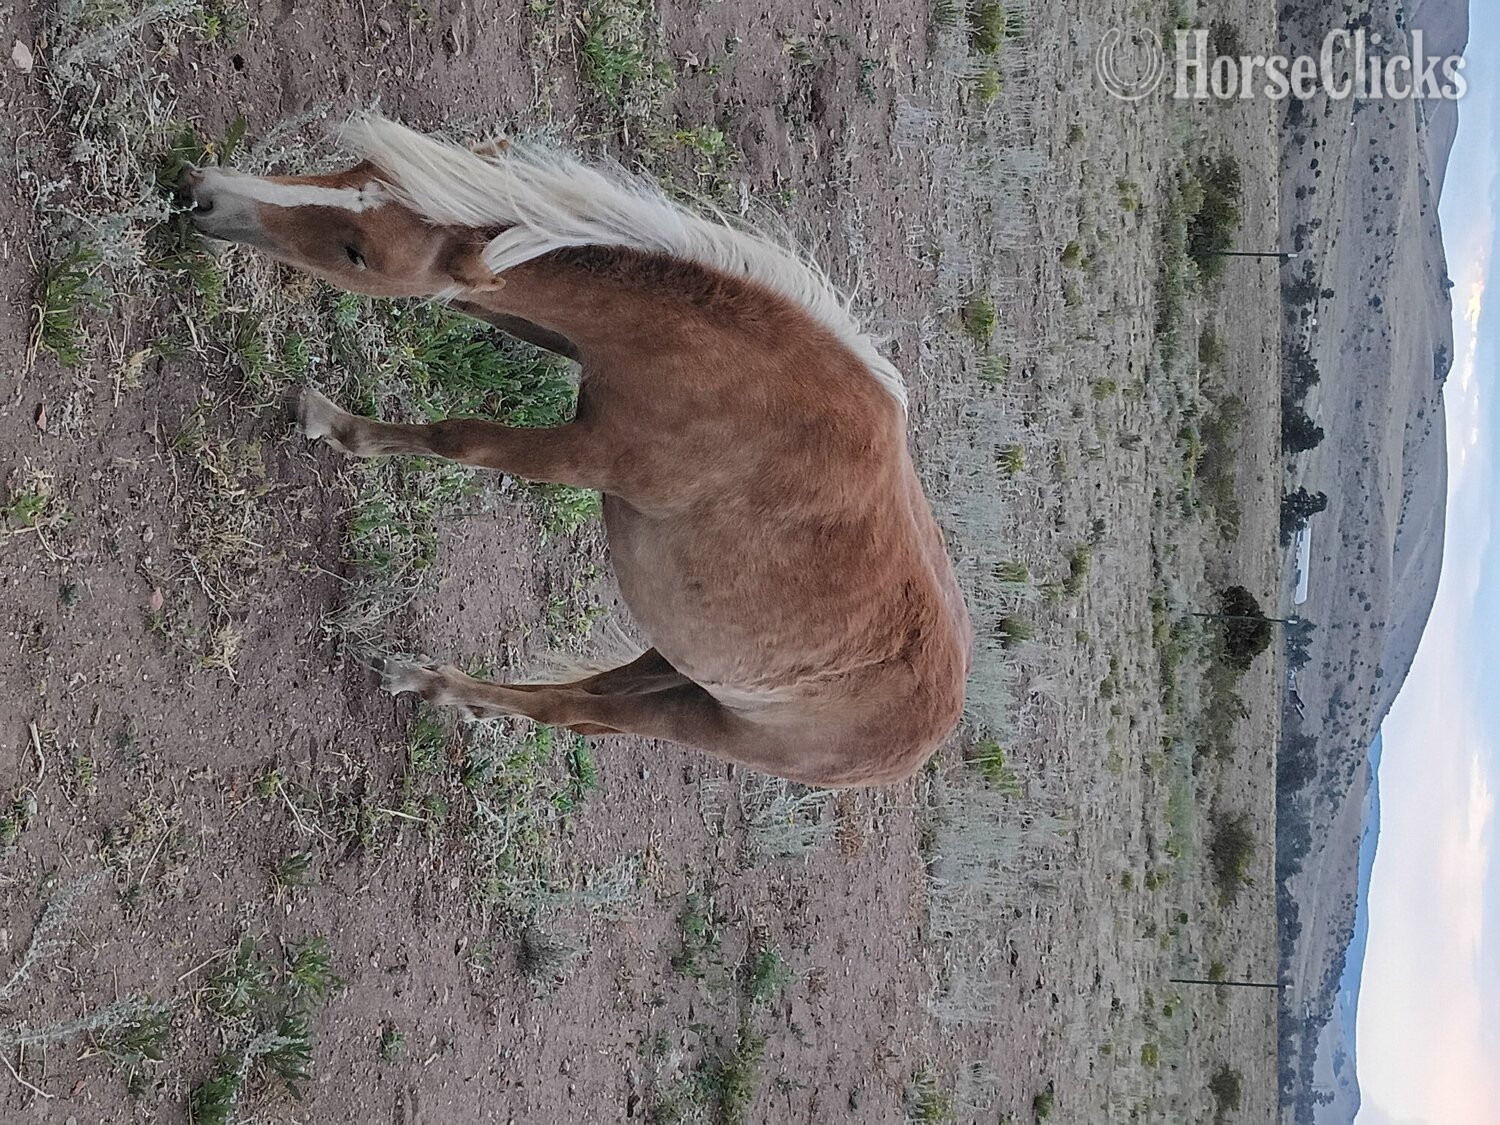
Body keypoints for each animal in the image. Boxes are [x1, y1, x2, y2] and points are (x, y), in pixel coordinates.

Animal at [185, 114, 972, 787]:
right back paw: (457, 694)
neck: (735, 372)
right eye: (355, 168)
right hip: (684, 667)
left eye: (358, 251)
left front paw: (332, 424)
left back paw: (430, 682)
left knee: (573, 712)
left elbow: (460, 438)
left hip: (704, 720)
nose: (203, 193)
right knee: (593, 699)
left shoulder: (591, 455)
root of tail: (924, 739)